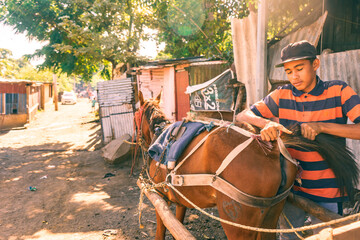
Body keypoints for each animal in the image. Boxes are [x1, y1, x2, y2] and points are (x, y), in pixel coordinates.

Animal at [136, 91, 358, 239]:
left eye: (136, 114)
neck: (160, 132)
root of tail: (272, 149)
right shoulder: (180, 200)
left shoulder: (160, 198)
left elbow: (162, 230)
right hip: (270, 214)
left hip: (238, 222)